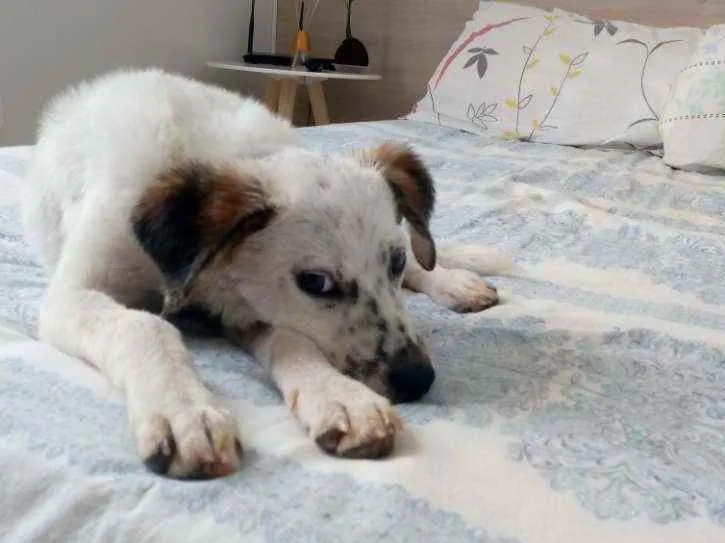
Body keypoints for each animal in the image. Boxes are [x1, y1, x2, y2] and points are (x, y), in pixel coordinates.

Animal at [22, 68, 510, 479]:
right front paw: (186, 411)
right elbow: (145, 327)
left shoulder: (242, 306)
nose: (418, 379)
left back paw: (456, 280)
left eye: (394, 262)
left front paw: (338, 396)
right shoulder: (73, 295)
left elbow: (292, 339)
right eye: (316, 282)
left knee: (426, 253)